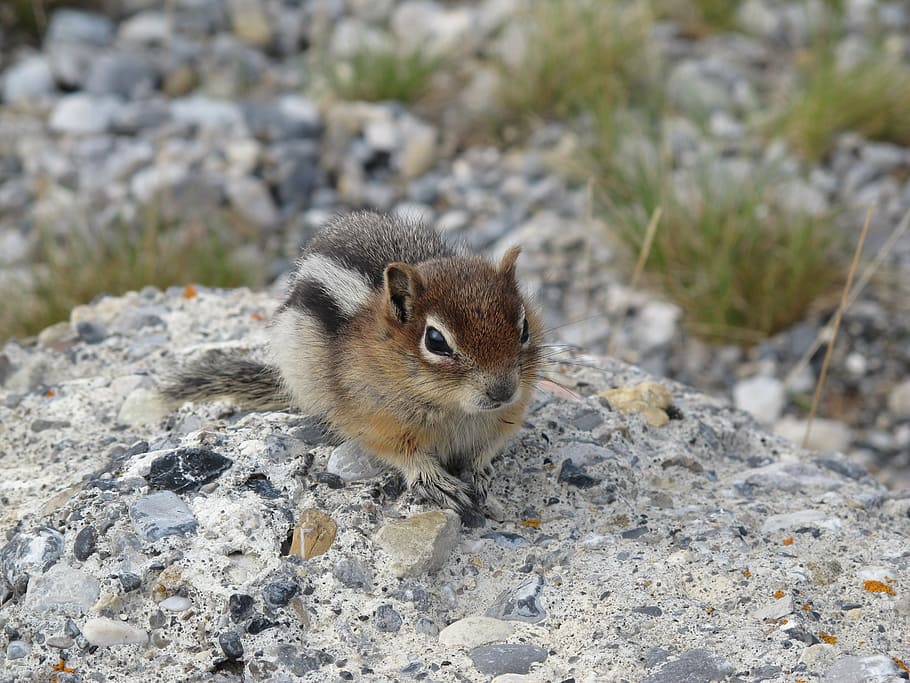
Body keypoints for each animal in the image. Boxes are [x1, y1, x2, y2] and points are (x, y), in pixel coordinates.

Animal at [161, 211, 542, 516]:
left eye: (524, 327)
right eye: (436, 341)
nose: (503, 392)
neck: (454, 409)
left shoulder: (507, 417)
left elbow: (487, 450)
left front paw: (480, 473)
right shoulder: (376, 421)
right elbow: (404, 455)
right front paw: (434, 481)